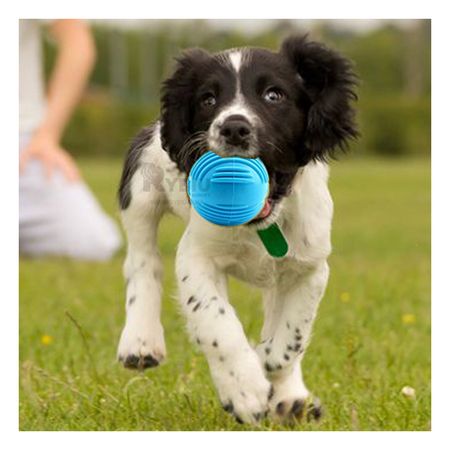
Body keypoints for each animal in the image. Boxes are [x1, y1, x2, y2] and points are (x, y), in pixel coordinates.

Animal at [117, 36, 358, 426]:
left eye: (274, 95)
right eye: (208, 99)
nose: (233, 127)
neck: (263, 226)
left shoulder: (309, 266)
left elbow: (290, 337)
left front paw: (272, 373)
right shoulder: (196, 255)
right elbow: (217, 322)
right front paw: (244, 390)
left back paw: (292, 399)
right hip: (140, 190)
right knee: (143, 260)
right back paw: (140, 340)